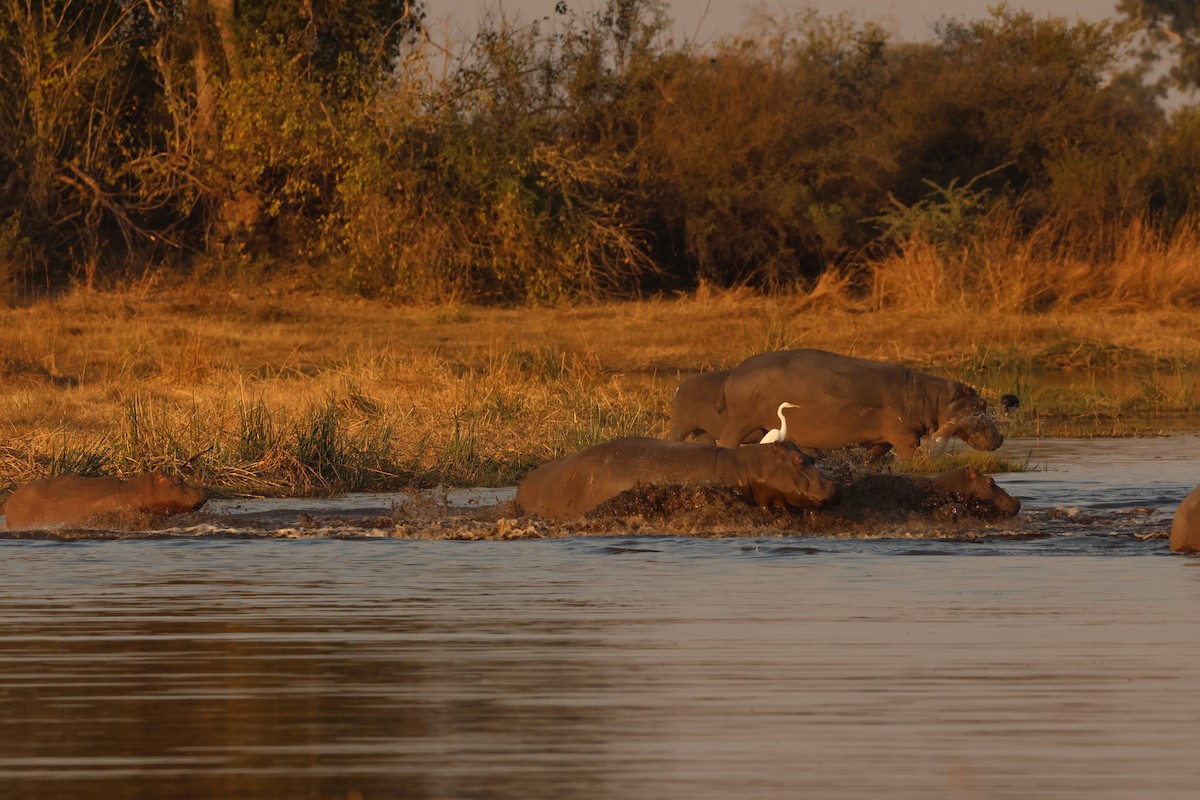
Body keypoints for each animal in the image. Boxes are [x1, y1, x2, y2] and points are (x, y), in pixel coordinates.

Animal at [710, 347, 1003, 460]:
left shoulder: (883, 439)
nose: (1000, 437)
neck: (933, 399)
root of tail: (732, 374)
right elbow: (910, 455)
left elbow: (873, 456)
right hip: (741, 421)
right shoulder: (905, 436)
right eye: (983, 404)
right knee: (726, 440)